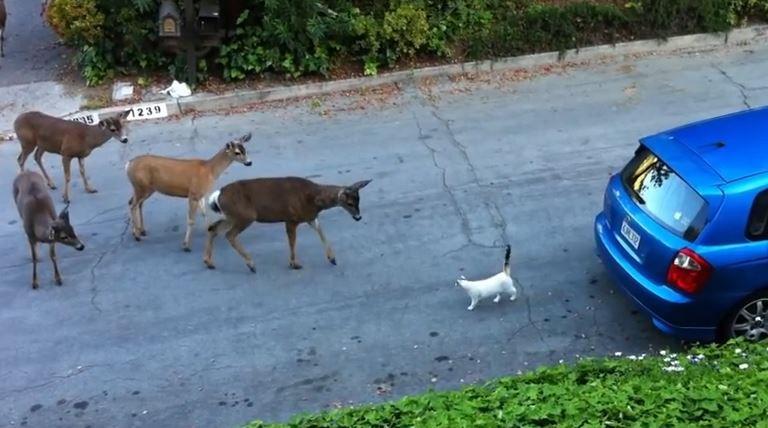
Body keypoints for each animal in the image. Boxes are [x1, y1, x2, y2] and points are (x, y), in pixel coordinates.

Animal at [203, 176, 372, 273]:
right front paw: (294, 264)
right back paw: (251, 265)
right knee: (229, 234)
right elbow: (292, 240)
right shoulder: (291, 219)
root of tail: (217, 195)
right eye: (349, 203)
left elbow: (321, 231)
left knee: (213, 228)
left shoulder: (310, 217)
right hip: (245, 216)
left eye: (358, 200)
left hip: (232, 216)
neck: (313, 198)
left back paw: (209, 263)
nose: (358, 217)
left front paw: (332, 259)